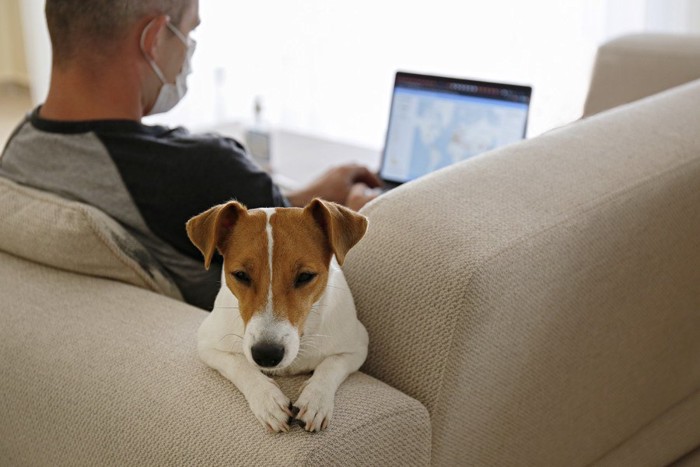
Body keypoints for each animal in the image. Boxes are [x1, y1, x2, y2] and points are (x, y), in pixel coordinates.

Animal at [186, 199, 372, 434]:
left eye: (305, 276)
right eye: (241, 275)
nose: (266, 355)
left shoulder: (357, 347)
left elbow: (331, 366)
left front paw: (316, 400)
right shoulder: (208, 345)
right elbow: (240, 365)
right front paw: (267, 399)